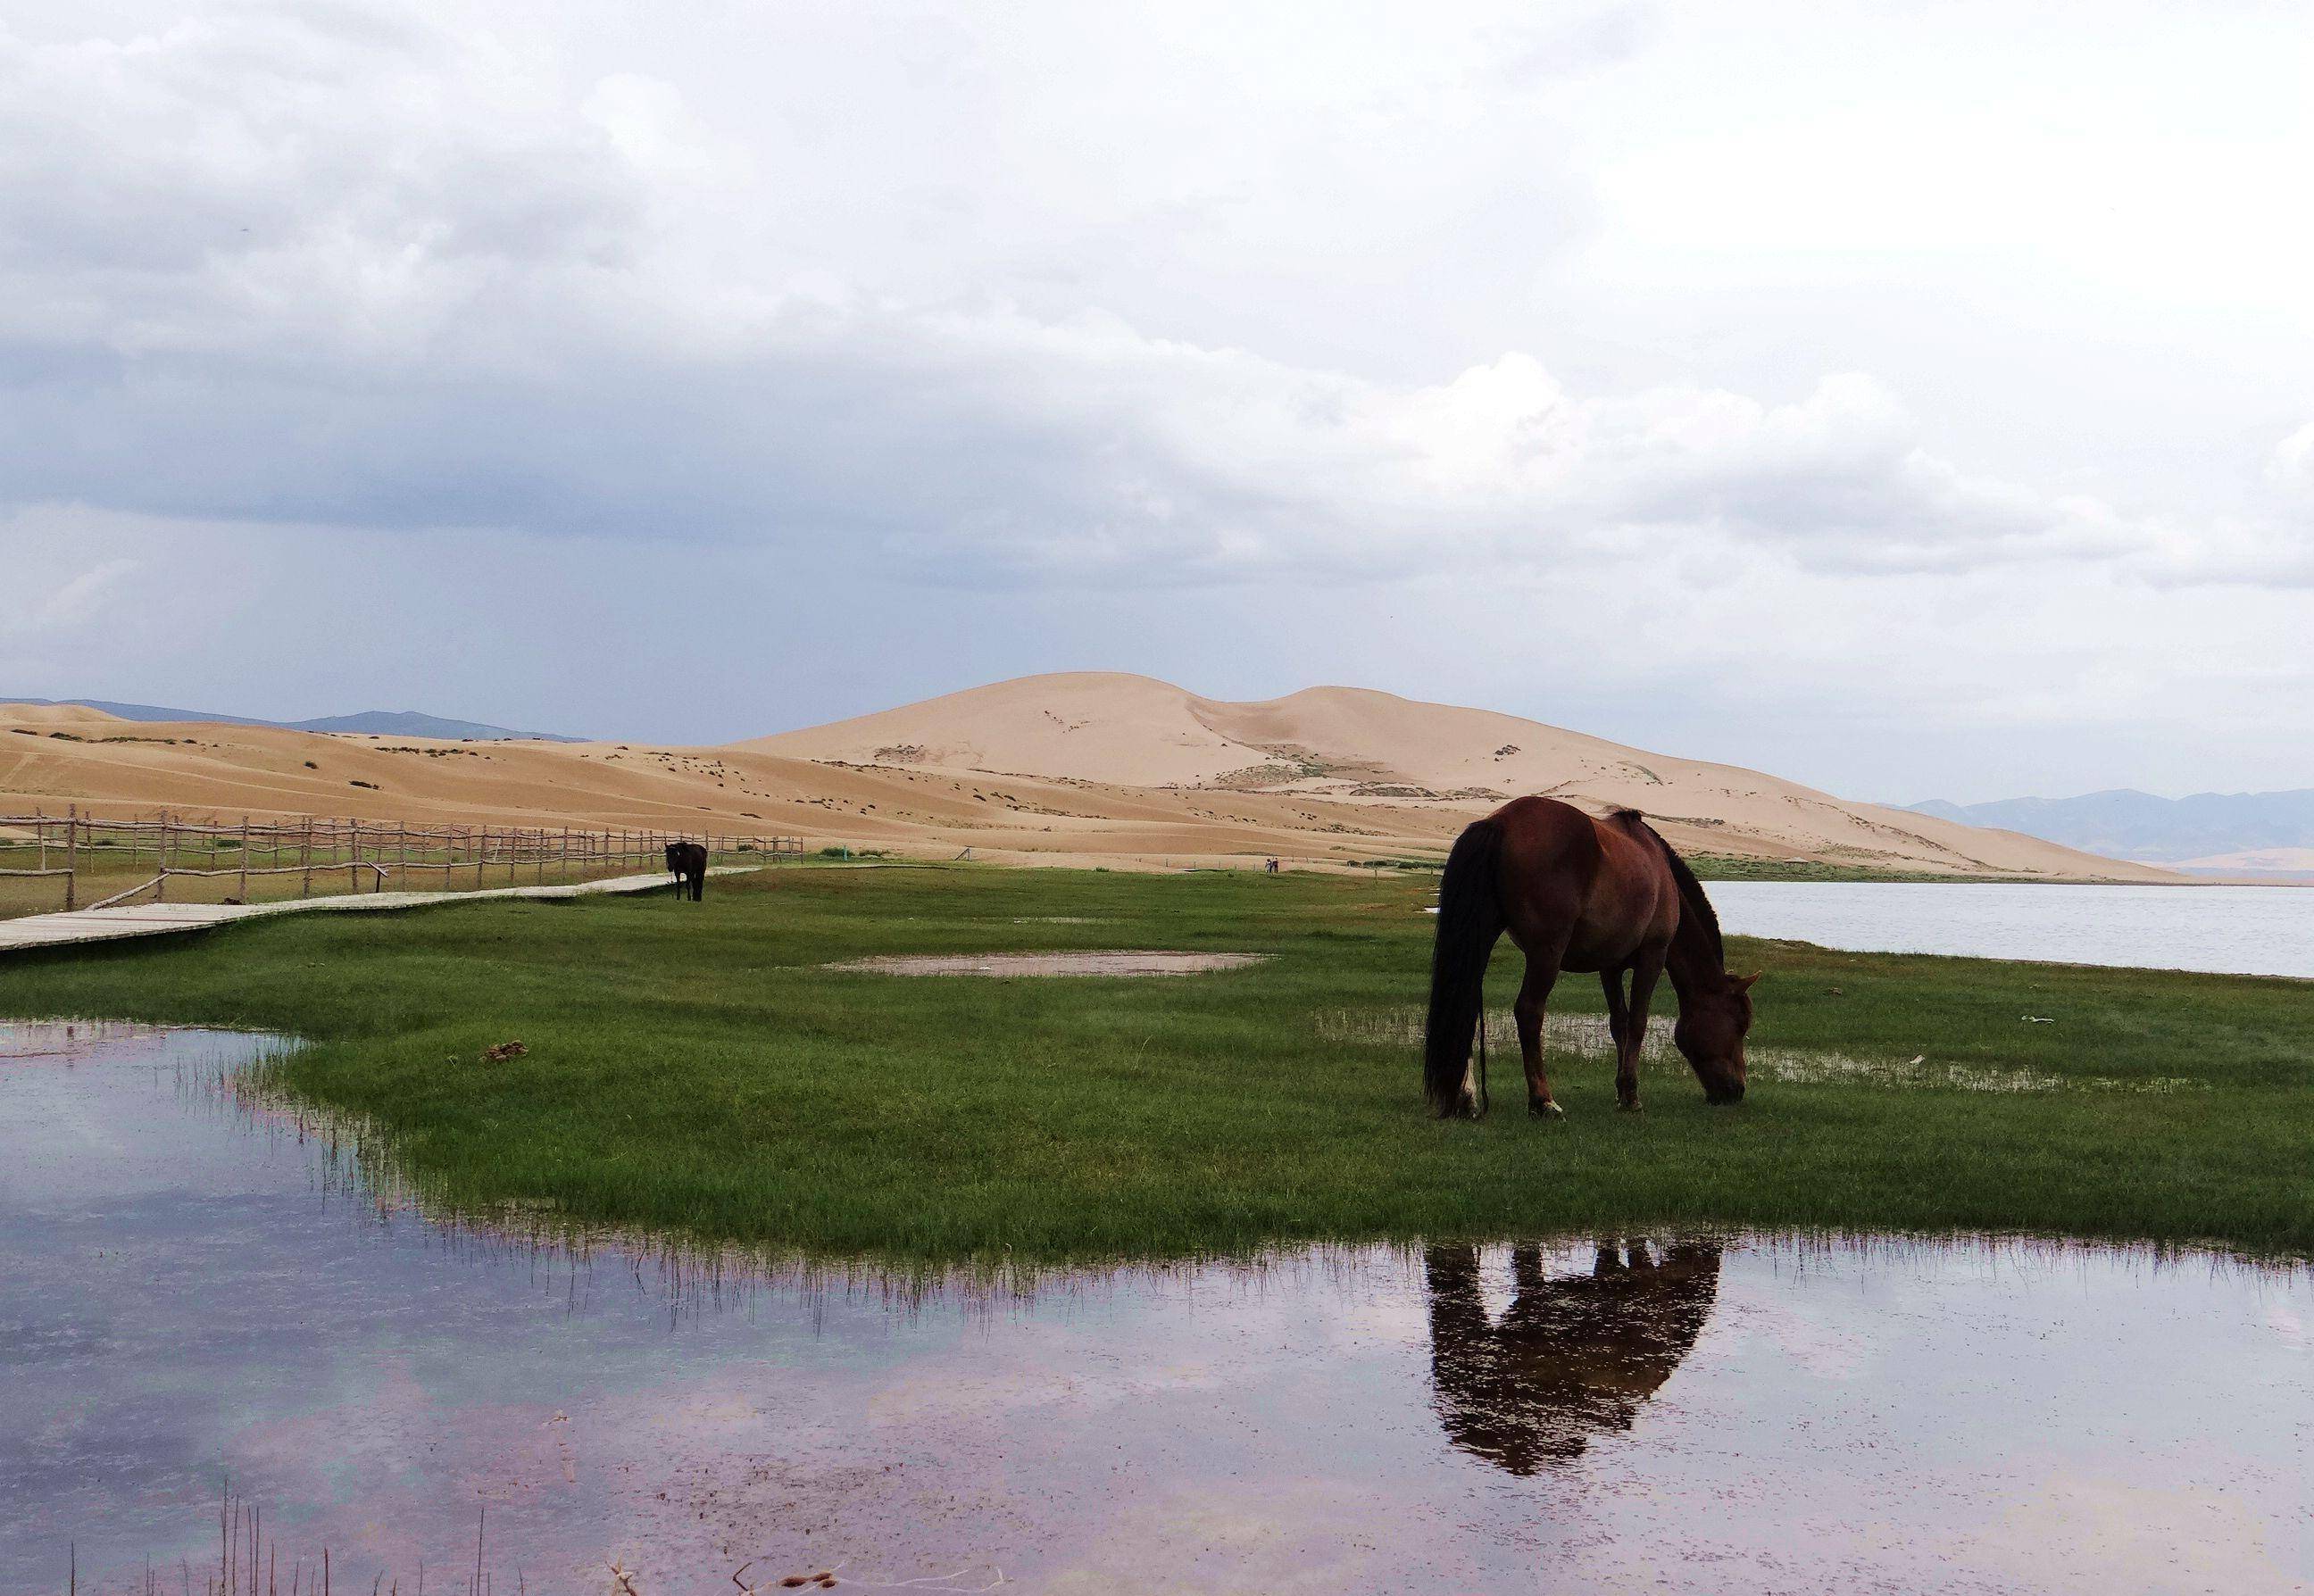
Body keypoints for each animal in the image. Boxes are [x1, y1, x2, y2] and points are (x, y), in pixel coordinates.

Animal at [1416, 795, 1758, 1119]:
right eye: (1740, 1024)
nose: (1738, 1090)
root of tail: (1499, 822)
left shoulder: (1610, 967)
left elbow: (1619, 1024)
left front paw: (1621, 1091)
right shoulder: (1653, 955)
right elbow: (1638, 1022)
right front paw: (1632, 1096)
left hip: (1482, 934)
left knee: (1466, 1002)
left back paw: (1466, 1098)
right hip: (1546, 953)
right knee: (1529, 1011)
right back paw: (1543, 1101)